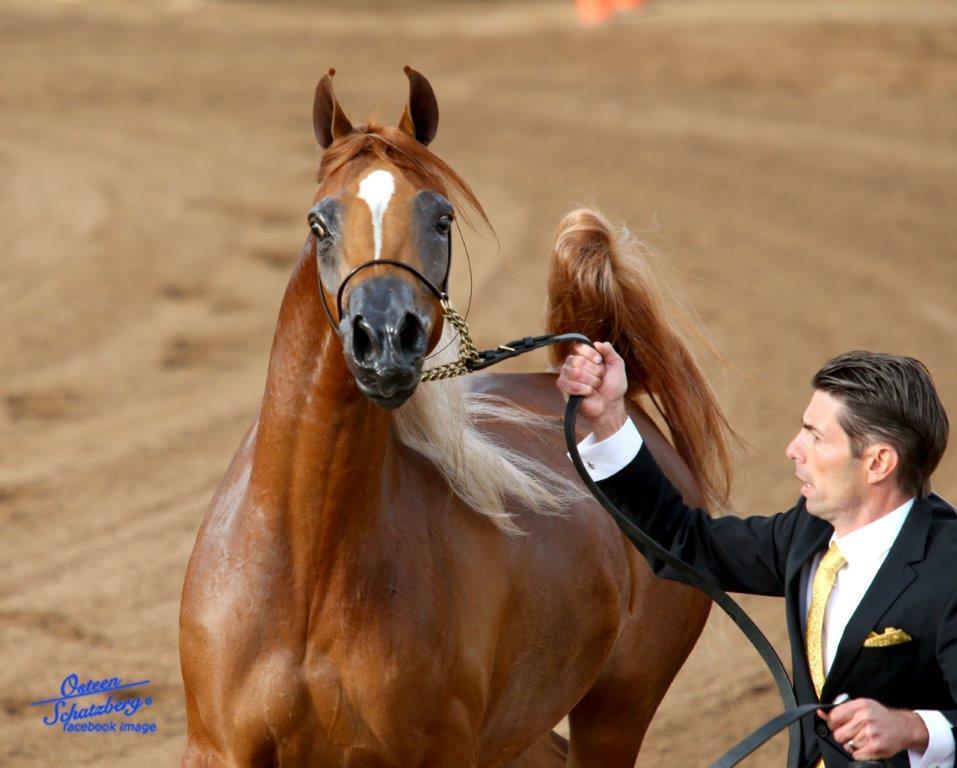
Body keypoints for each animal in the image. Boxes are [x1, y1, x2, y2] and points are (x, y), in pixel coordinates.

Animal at [179, 67, 735, 768]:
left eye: (441, 218)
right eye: (318, 223)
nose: (385, 338)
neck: (307, 569)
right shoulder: (216, 749)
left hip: (616, 713)